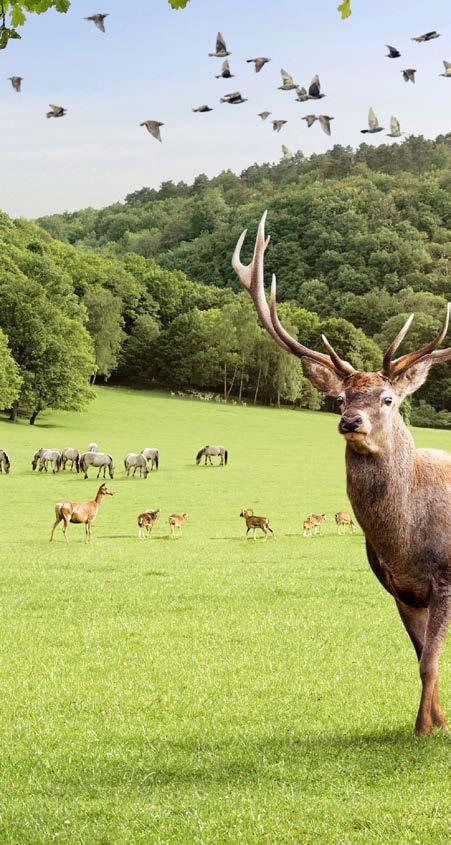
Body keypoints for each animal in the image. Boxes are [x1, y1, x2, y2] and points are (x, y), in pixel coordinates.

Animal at [233, 211, 451, 732]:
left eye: (388, 399)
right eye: (341, 398)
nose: (350, 421)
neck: (405, 543)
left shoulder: (446, 578)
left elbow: (431, 660)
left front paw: (424, 728)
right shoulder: (399, 589)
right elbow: (423, 660)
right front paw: (436, 722)